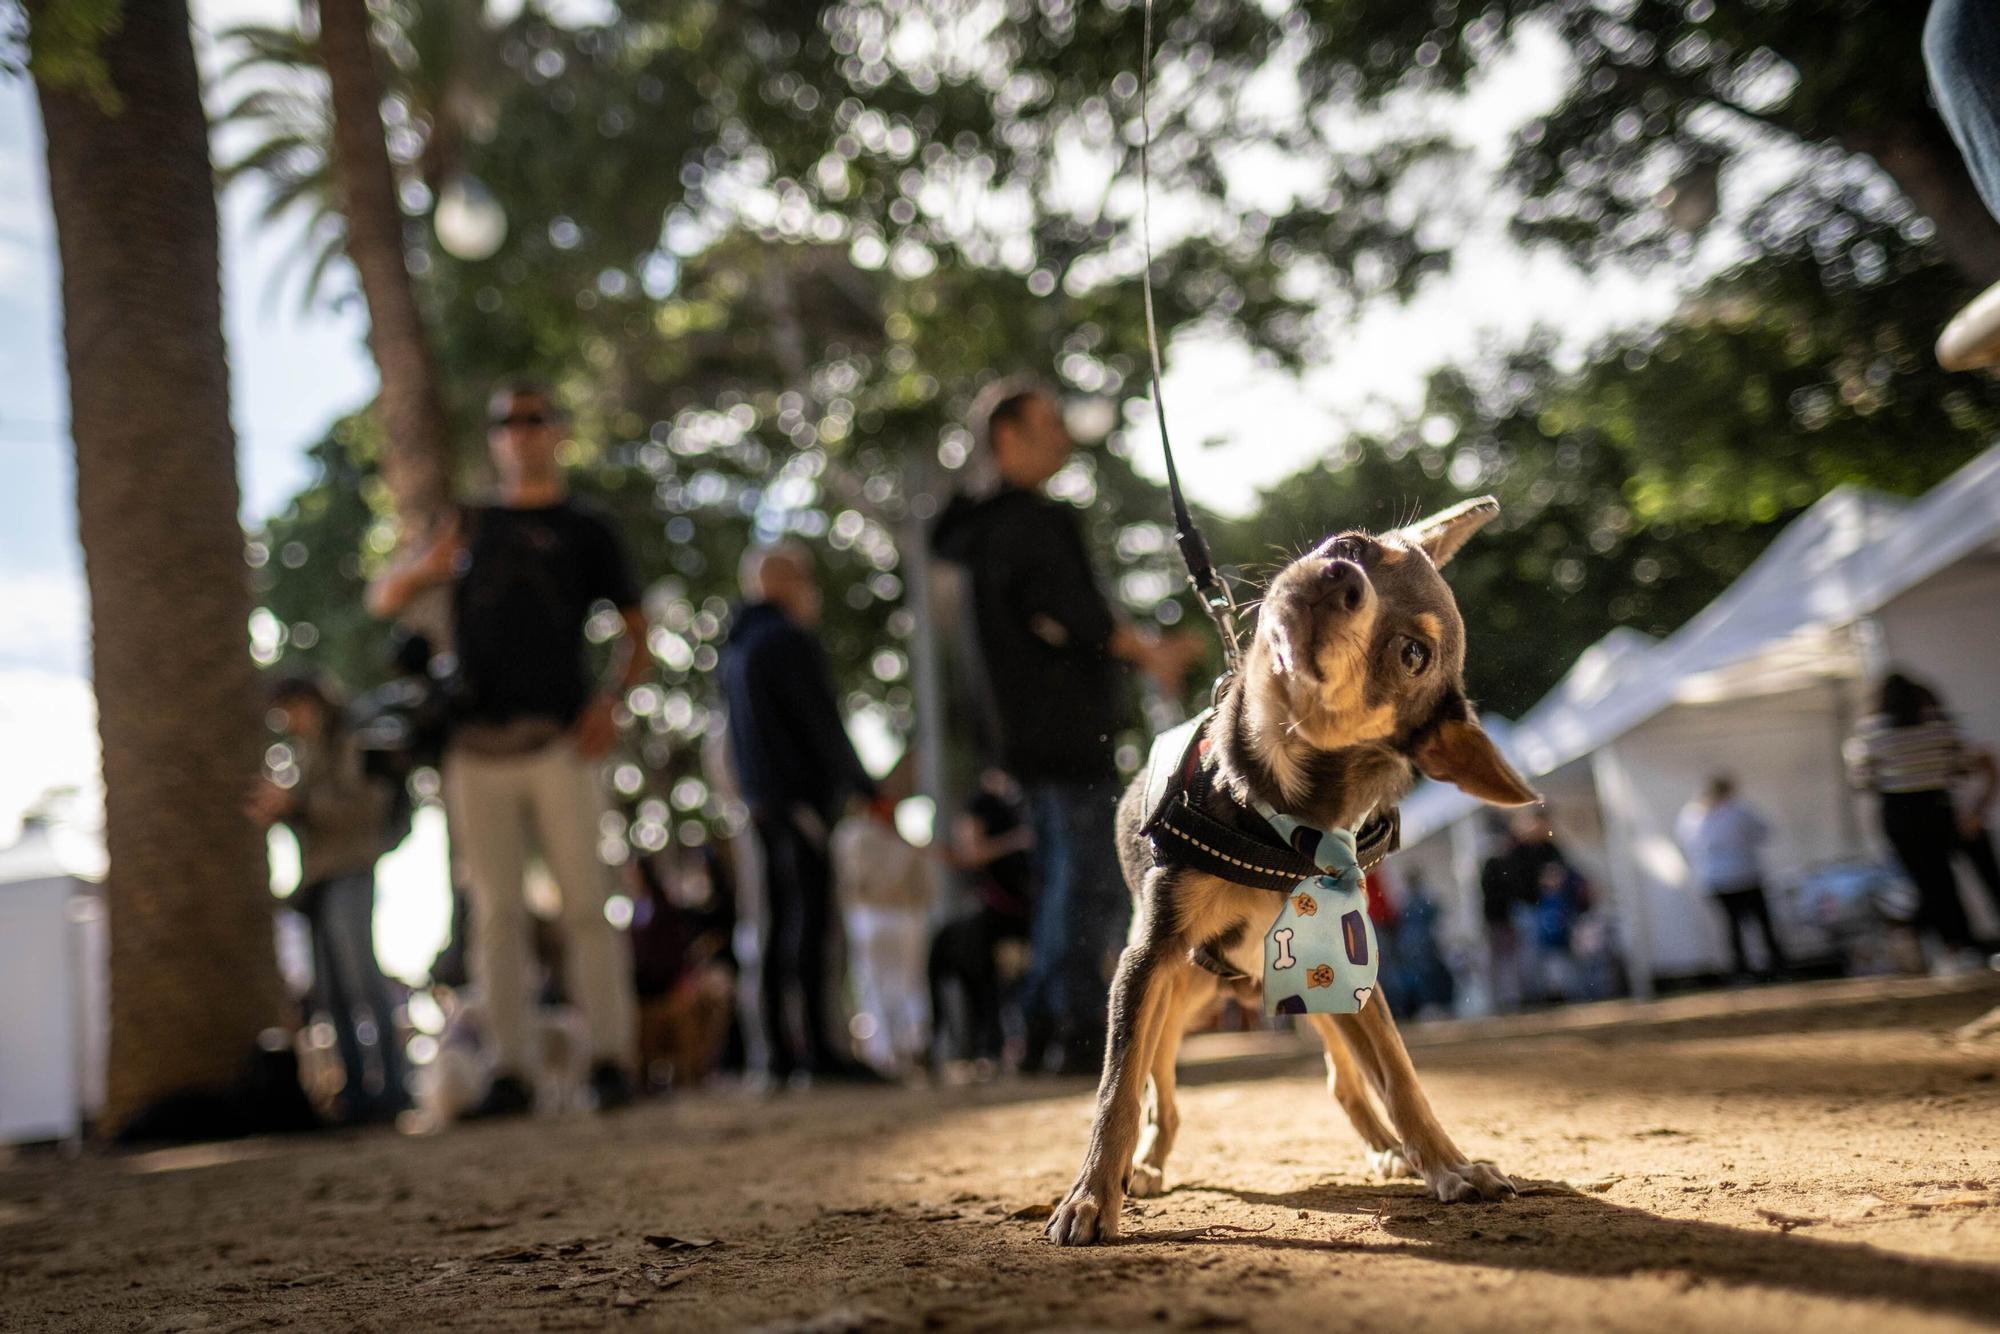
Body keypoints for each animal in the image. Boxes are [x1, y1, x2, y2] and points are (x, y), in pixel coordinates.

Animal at [1040, 496, 1536, 1248]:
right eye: (1353, 546)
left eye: (1412, 654)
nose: (1340, 575)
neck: (1275, 801)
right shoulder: (1145, 961)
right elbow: (1115, 1091)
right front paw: (1092, 1197)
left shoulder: (1359, 975)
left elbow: (1401, 1077)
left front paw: (1450, 1164)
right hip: (1177, 996)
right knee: (1161, 1094)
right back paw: (1142, 1168)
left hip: (1322, 991)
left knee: (1345, 1082)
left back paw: (1389, 1151)